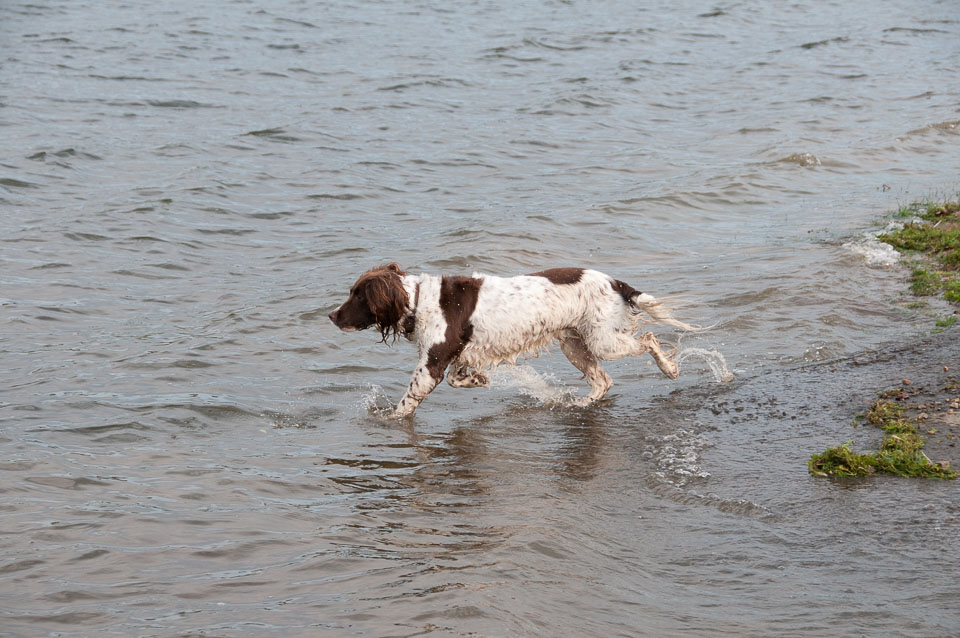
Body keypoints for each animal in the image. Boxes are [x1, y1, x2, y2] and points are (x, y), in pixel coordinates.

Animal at [330, 262, 688, 418]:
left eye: (357, 295)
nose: (332, 316)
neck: (418, 300)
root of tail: (616, 283)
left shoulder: (432, 362)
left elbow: (407, 403)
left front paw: (389, 421)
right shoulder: (458, 354)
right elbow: (459, 378)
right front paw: (479, 379)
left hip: (603, 341)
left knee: (649, 339)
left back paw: (669, 369)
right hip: (574, 344)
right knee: (603, 380)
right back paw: (577, 405)